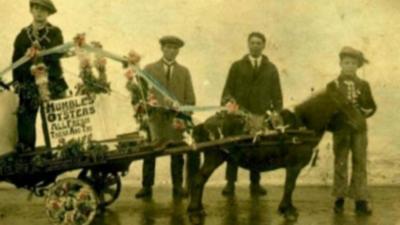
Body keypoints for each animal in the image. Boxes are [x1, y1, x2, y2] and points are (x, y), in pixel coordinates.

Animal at [188, 83, 366, 222]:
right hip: (214, 157)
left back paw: (197, 208)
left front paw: (289, 208)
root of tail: (205, 124)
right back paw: (195, 210)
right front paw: (287, 210)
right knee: (198, 179)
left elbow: (290, 186)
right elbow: (289, 186)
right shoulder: (294, 166)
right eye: (346, 103)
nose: (362, 125)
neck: (301, 127)